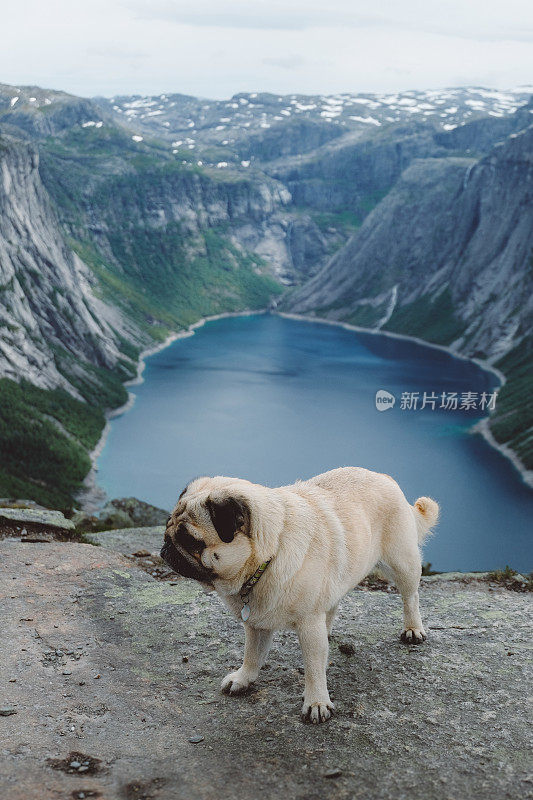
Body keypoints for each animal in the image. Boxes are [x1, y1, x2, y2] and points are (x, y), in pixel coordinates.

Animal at [160, 468, 438, 724]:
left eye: (191, 541)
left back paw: (413, 629)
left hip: (402, 562)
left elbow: (313, 668)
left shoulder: (308, 624)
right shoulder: (256, 624)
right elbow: (252, 655)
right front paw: (243, 678)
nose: (166, 546)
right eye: (167, 527)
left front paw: (316, 702)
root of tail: (384, 476)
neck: (270, 552)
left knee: (410, 597)